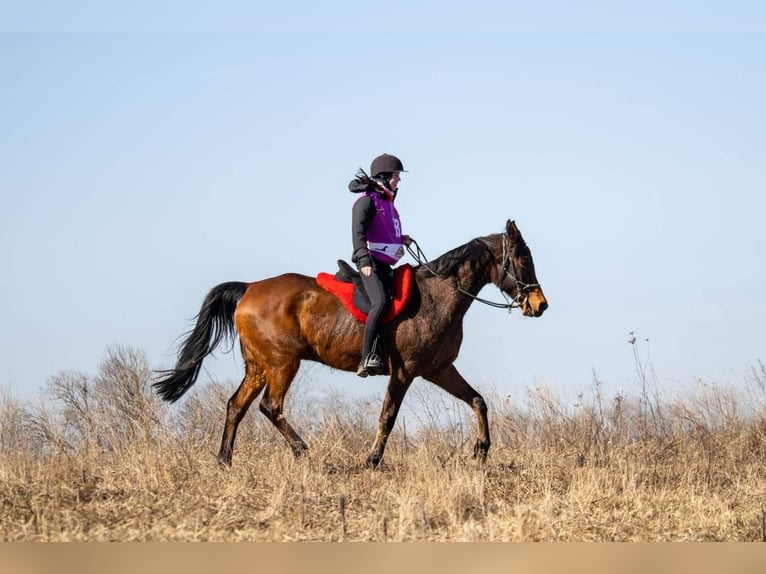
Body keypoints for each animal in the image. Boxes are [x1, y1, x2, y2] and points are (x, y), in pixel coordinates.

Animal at [156, 220, 548, 468]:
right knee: (270, 406)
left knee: (236, 405)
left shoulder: (438, 368)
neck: (439, 296)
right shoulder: (405, 372)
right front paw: (372, 461)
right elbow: (388, 416)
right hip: (283, 363)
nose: (540, 305)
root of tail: (249, 288)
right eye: (522, 259)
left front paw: (481, 450)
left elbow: (478, 401)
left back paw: (225, 461)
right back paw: (302, 451)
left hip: (258, 366)